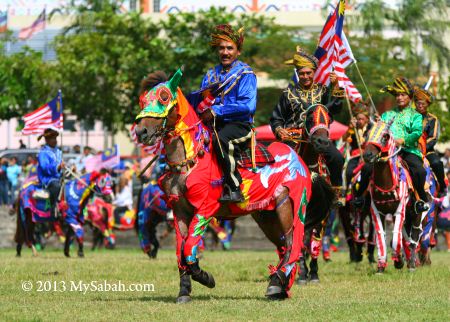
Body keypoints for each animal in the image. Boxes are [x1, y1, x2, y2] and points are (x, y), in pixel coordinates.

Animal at [130, 68, 334, 302]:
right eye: (142, 100)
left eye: (164, 97)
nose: (141, 131)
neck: (190, 160)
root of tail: (302, 163)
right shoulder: (179, 210)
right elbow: (181, 252)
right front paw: (184, 292)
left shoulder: (205, 209)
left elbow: (189, 247)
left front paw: (205, 277)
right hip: (266, 215)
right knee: (283, 246)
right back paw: (280, 287)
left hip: (289, 206)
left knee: (294, 244)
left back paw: (278, 283)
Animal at [362, 119, 436, 272]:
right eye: (366, 134)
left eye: (385, 136)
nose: (368, 155)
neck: (386, 184)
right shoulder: (376, 211)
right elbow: (382, 236)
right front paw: (381, 266)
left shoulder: (399, 210)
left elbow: (396, 236)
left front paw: (398, 261)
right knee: (406, 237)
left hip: (417, 213)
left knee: (414, 236)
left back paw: (412, 264)